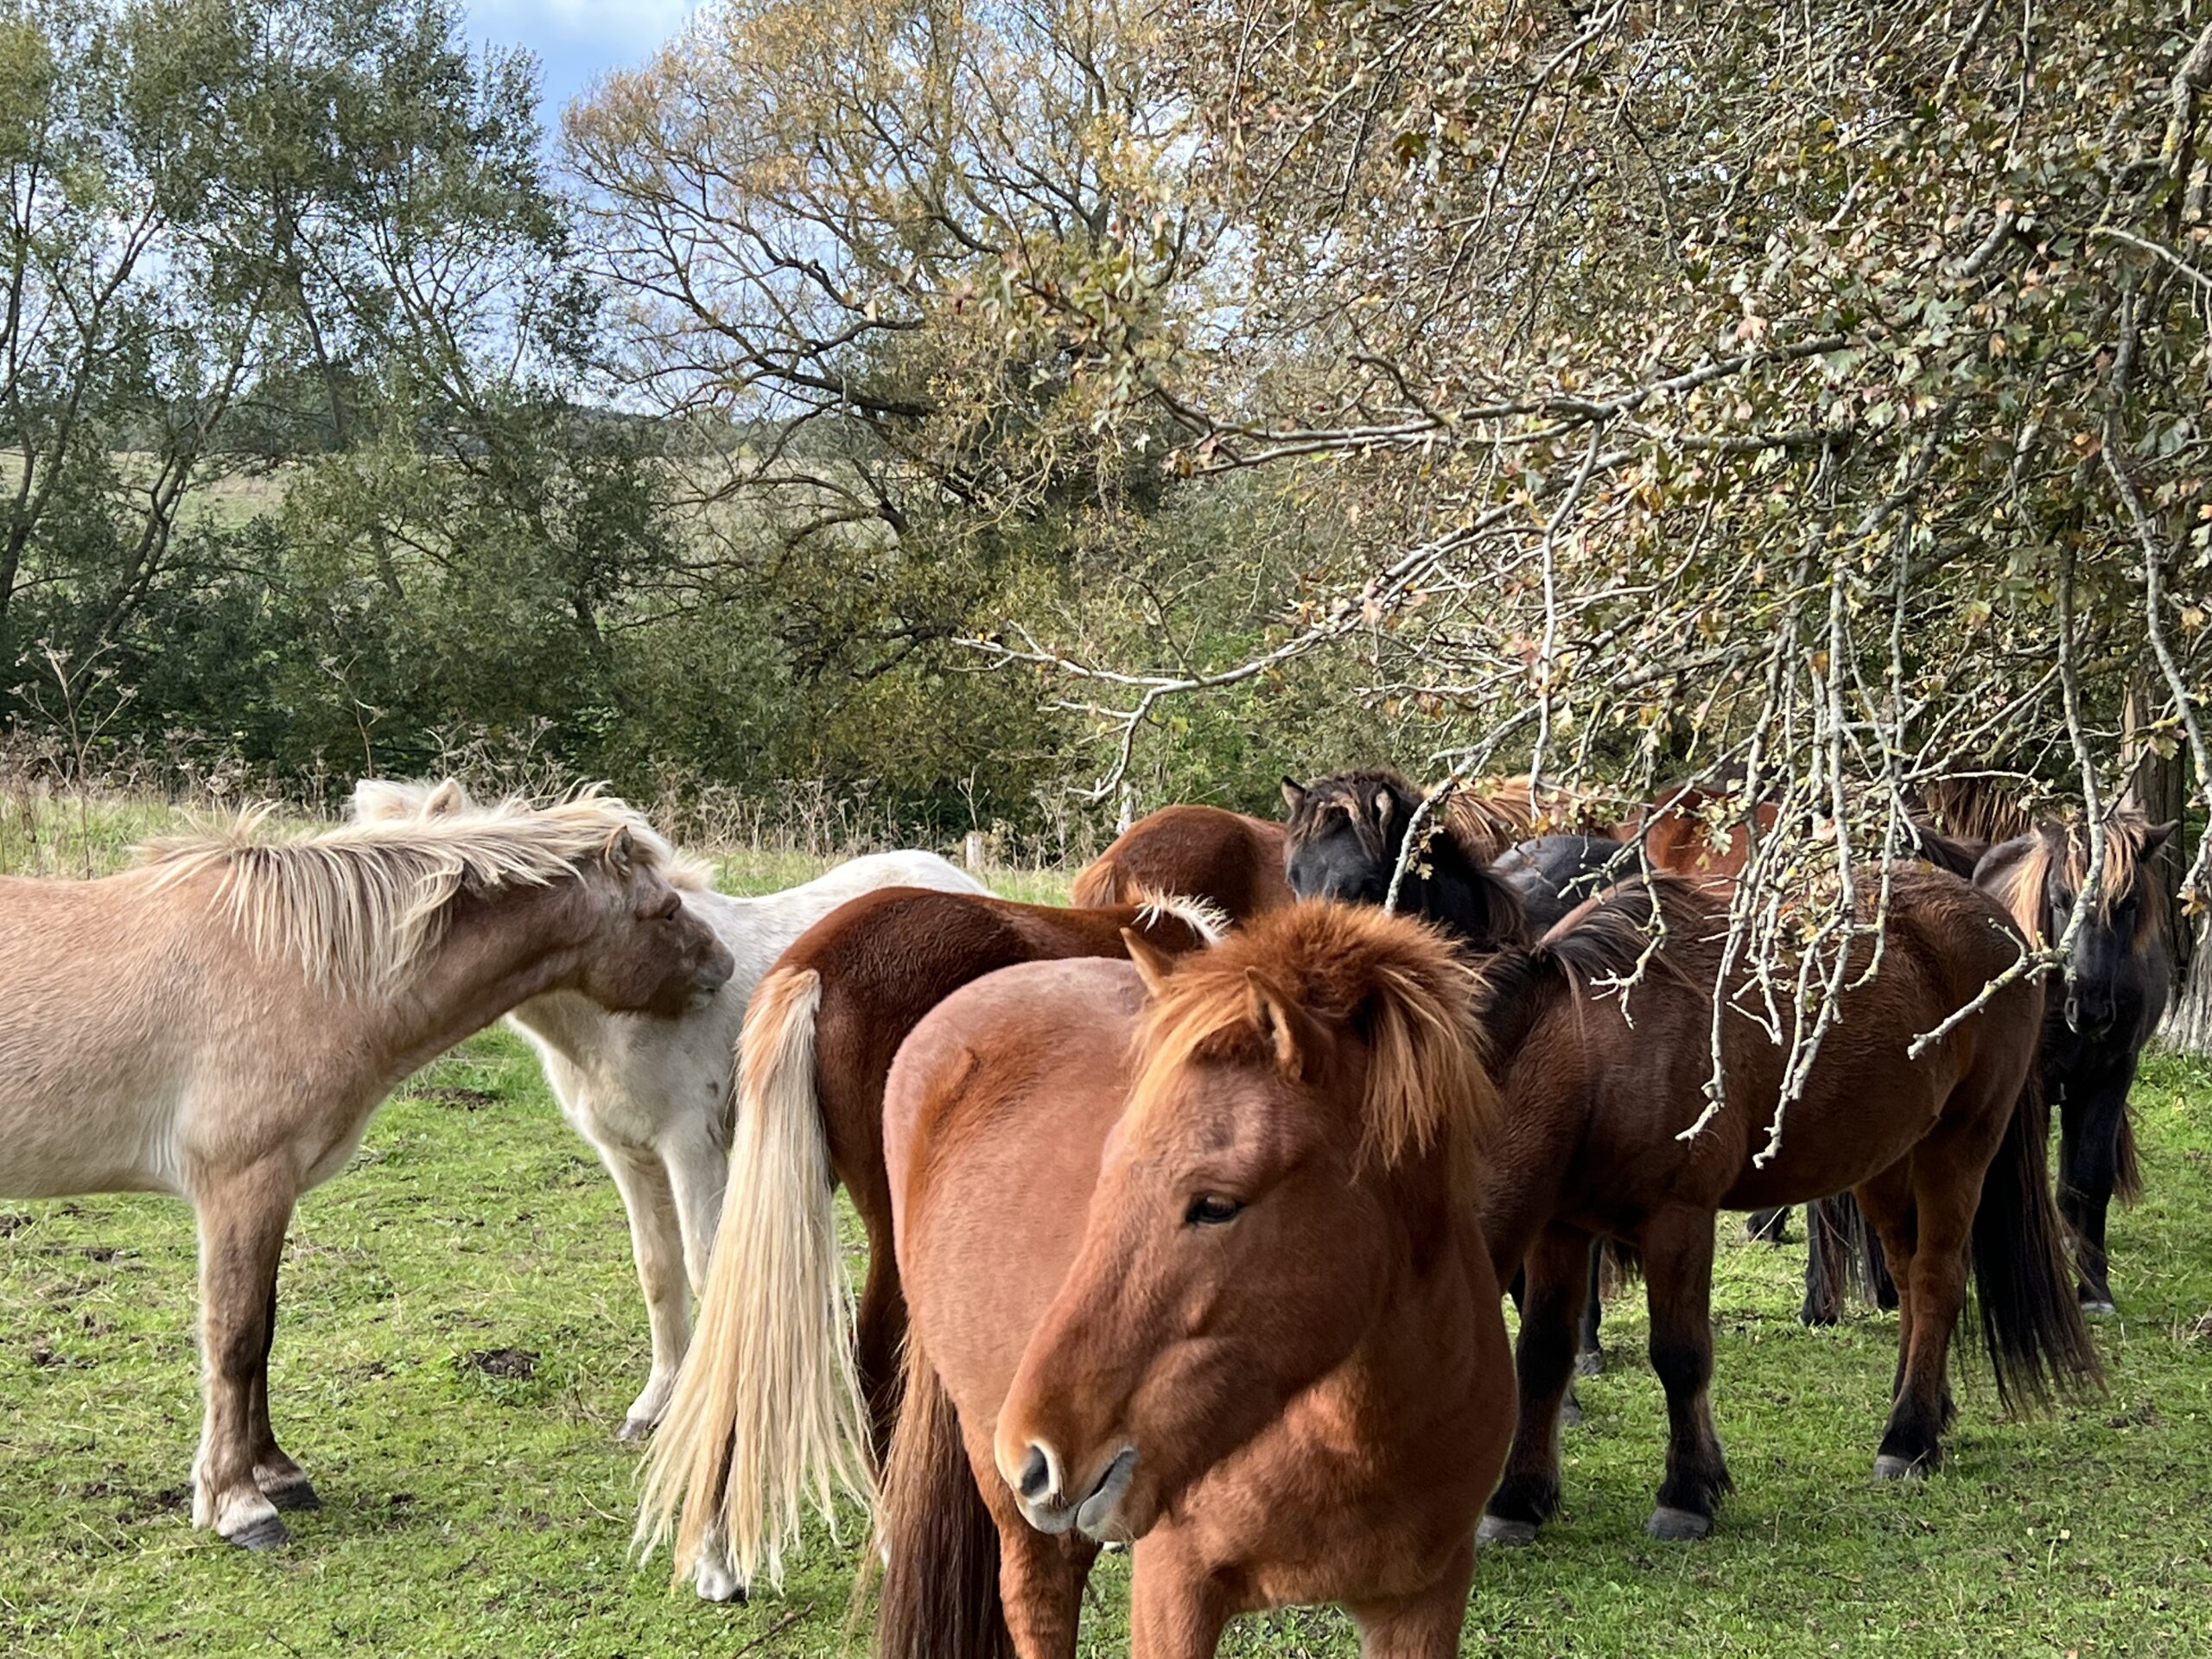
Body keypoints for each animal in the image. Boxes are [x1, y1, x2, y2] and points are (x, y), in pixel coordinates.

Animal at [0, 787, 739, 1548]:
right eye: (667, 909)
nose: (724, 967)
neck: (295, 966)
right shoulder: (243, 1185)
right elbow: (234, 1337)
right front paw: (238, 1502)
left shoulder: (273, 1193)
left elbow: (263, 1332)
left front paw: (278, 1473)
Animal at [346, 779, 986, 1442]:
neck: (611, 1022)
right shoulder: (628, 1155)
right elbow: (658, 1271)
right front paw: (653, 1403)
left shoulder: (689, 1145)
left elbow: (707, 1269)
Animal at [871, 911, 1513, 1659]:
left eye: (1215, 1204)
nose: (1033, 1454)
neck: (1356, 1441)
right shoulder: (1174, 1588)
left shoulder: (1421, 1604)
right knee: (1038, 1600)